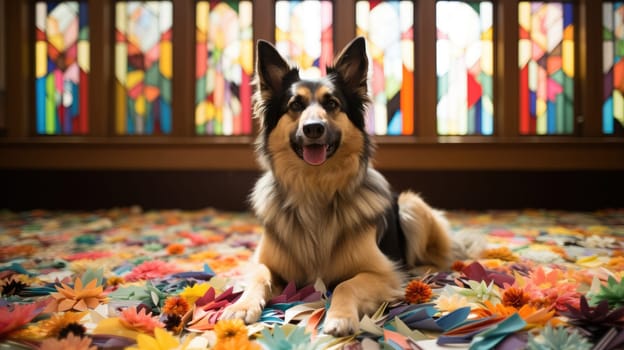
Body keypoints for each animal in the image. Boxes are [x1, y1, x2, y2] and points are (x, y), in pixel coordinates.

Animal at [219, 37, 472, 336]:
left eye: (332, 103)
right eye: (295, 105)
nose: (313, 128)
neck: (315, 188)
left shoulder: (384, 272)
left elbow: (345, 284)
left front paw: (340, 317)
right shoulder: (265, 263)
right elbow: (259, 275)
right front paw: (241, 306)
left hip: (411, 205)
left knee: (439, 257)